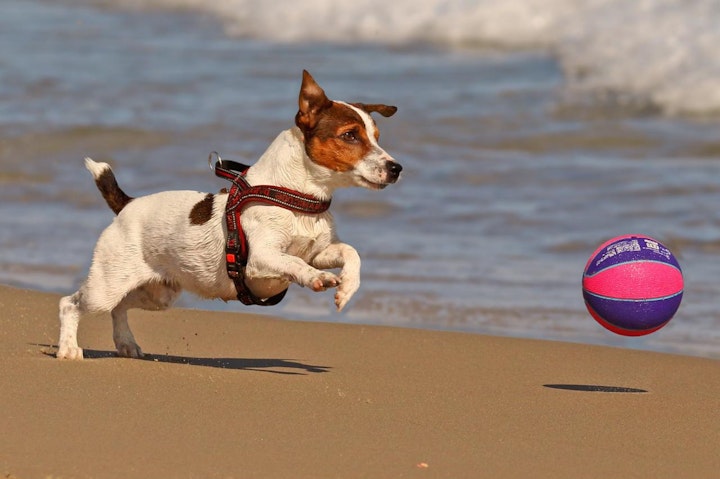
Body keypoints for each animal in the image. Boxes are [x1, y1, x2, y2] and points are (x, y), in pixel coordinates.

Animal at [57, 69, 402, 358]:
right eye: (350, 135)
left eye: (377, 137)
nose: (396, 168)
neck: (296, 199)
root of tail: (126, 205)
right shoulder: (261, 258)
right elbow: (294, 263)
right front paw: (315, 278)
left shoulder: (318, 252)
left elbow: (351, 253)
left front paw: (347, 288)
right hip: (106, 286)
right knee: (70, 304)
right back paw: (69, 349)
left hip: (158, 295)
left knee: (119, 308)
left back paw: (126, 344)